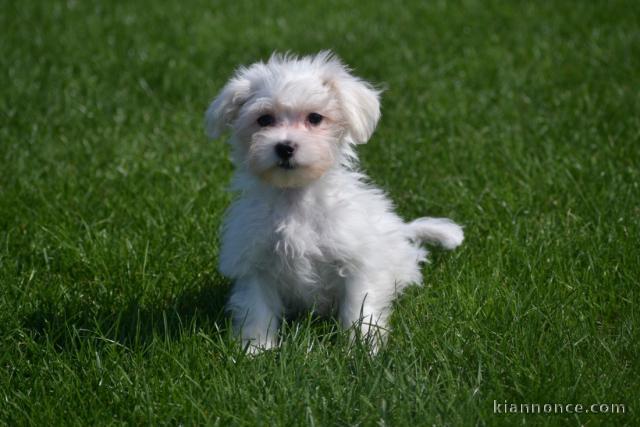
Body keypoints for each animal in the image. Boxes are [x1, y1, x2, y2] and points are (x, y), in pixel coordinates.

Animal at [208, 51, 462, 354]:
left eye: (315, 118)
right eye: (264, 119)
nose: (284, 147)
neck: (296, 198)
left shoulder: (357, 262)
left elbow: (359, 307)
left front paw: (362, 348)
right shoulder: (256, 265)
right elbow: (258, 311)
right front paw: (256, 350)